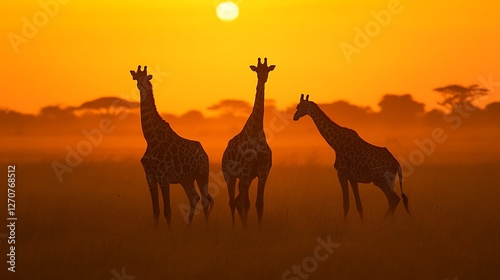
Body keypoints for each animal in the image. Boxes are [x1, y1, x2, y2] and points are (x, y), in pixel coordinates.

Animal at [129, 64, 213, 226]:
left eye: (146, 79)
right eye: (136, 78)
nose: (142, 87)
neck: (150, 139)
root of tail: (205, 153)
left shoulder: (163, 176)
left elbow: (167, 212)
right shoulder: (149, 175)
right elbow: (156, 211)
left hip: (202, 174)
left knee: (205, 200)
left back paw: (206, 228)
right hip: (186, 179)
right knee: (195, 197)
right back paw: (187, 227)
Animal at [224, 57, 278, 228]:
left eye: (267, 70)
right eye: (257, 70)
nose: (263, 78)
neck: (255, 130)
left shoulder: (263, 171)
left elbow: (259, 203)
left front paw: (259, 230)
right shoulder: (246, 170)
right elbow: (246, 203)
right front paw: (246, 230)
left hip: (244, 178)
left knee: (237, 200)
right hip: (229, 175)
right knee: (232, 201)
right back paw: (235, 227)